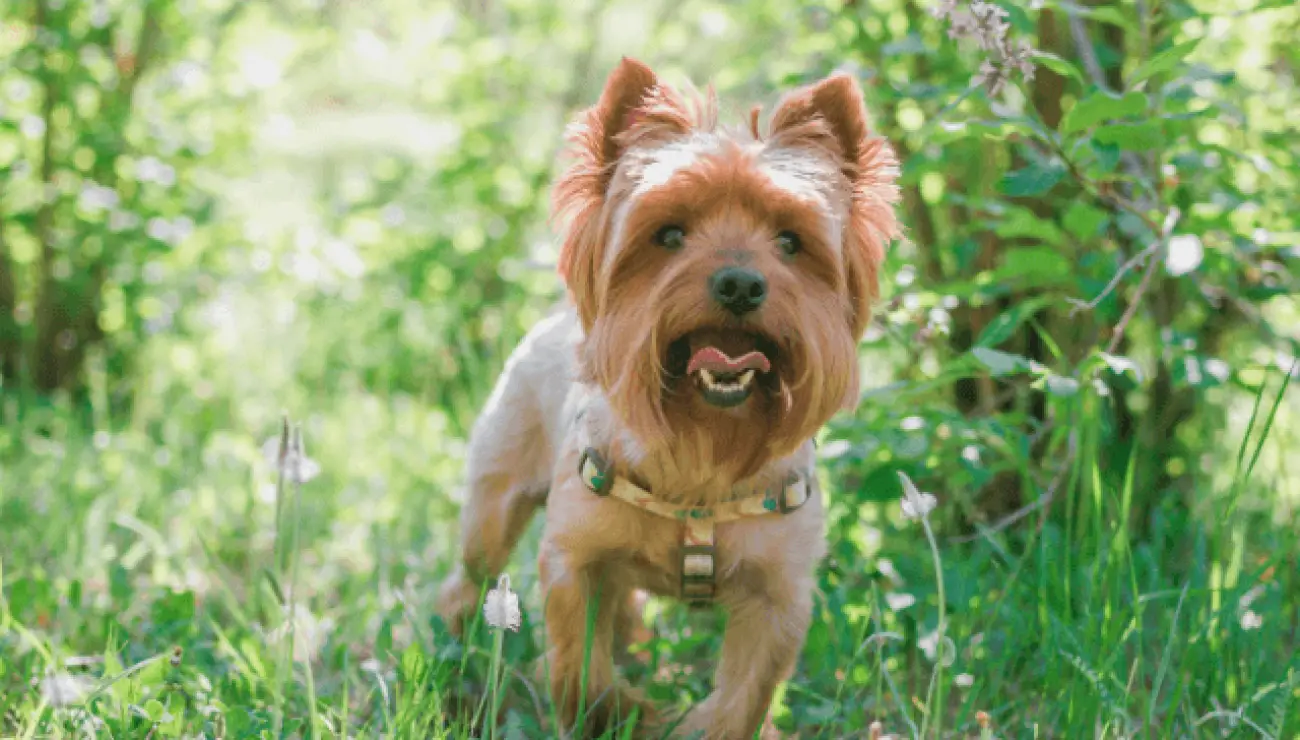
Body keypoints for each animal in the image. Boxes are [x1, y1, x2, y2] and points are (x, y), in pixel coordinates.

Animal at [441, 54, 899, 733]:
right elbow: (579, 665)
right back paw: (452, 646)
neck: (702, 450)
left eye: (791, 241)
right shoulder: (575, 560)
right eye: (669, 234)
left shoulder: (779, 594)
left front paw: (697, 723)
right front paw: (620, 714)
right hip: (495, 497)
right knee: (471, 572)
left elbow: (743, 696)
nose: (739, 283)